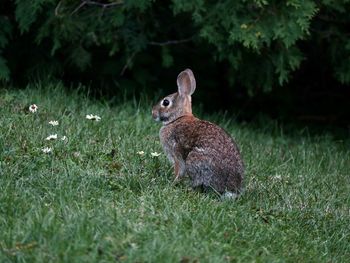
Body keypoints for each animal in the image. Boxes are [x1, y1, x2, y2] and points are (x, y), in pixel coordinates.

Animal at [152, 69, 245, 199]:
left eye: (166, 102)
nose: (153, 113)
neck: (178, 118)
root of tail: (232, 189)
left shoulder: (176, 153)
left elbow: (179, 170)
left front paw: (172, 183)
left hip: (194, 160)